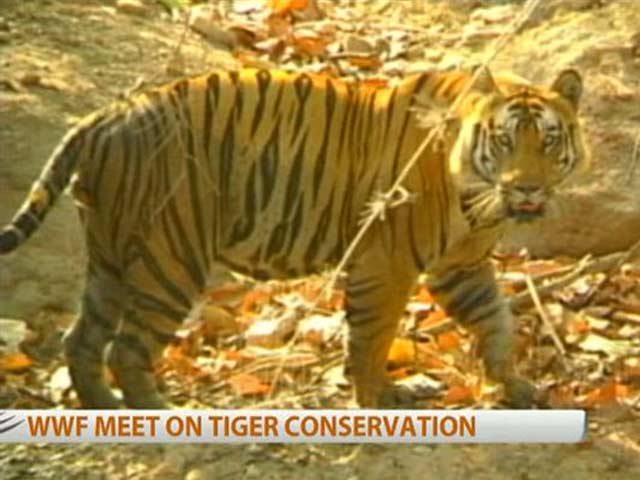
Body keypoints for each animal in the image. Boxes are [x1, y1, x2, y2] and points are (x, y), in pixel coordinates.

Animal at [0, 66, 586, 409]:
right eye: (506, 141)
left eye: (548, 141)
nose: (528, 188)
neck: (477, 199)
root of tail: (105, 115)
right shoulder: (385, 263)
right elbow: (371, 339)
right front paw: (377, 400)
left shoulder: (460, 267)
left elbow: (496, 322)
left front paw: (514, 386)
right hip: (171, 256)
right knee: (127, 348)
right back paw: (159, 414)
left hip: (111, 258)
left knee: (82, 341)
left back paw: (107, 409)